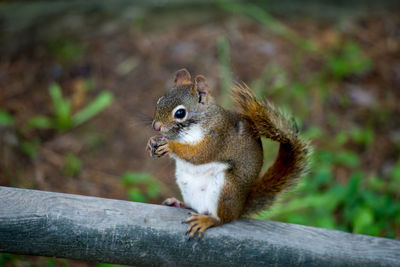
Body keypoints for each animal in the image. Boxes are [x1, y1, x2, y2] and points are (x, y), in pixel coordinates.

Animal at [148, 68, 312, 240]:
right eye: (159, 101)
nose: (156, 126)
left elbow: (199, 155)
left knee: (224, 218)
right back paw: (178, 203)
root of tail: (240, 207)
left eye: (180, 113)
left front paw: (169, 146)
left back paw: (207, 220)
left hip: (226, 188)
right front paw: (152, 142)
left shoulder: (217, 137)